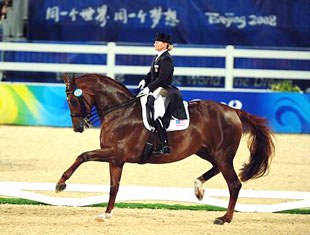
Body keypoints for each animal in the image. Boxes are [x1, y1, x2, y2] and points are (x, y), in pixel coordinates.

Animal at [55, 73, 274, 224]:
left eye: (72, 100)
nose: (78, 128)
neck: (121, 112)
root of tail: (233, 110)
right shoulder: (116, 159)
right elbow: (113, 187)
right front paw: (106, 214)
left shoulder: (116, 153)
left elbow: (83, 155)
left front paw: (61, 184)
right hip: (206, 152)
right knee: (217, 170)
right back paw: (198, 188)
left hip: (222, 154)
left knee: (234, 184)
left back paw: (224, 218)